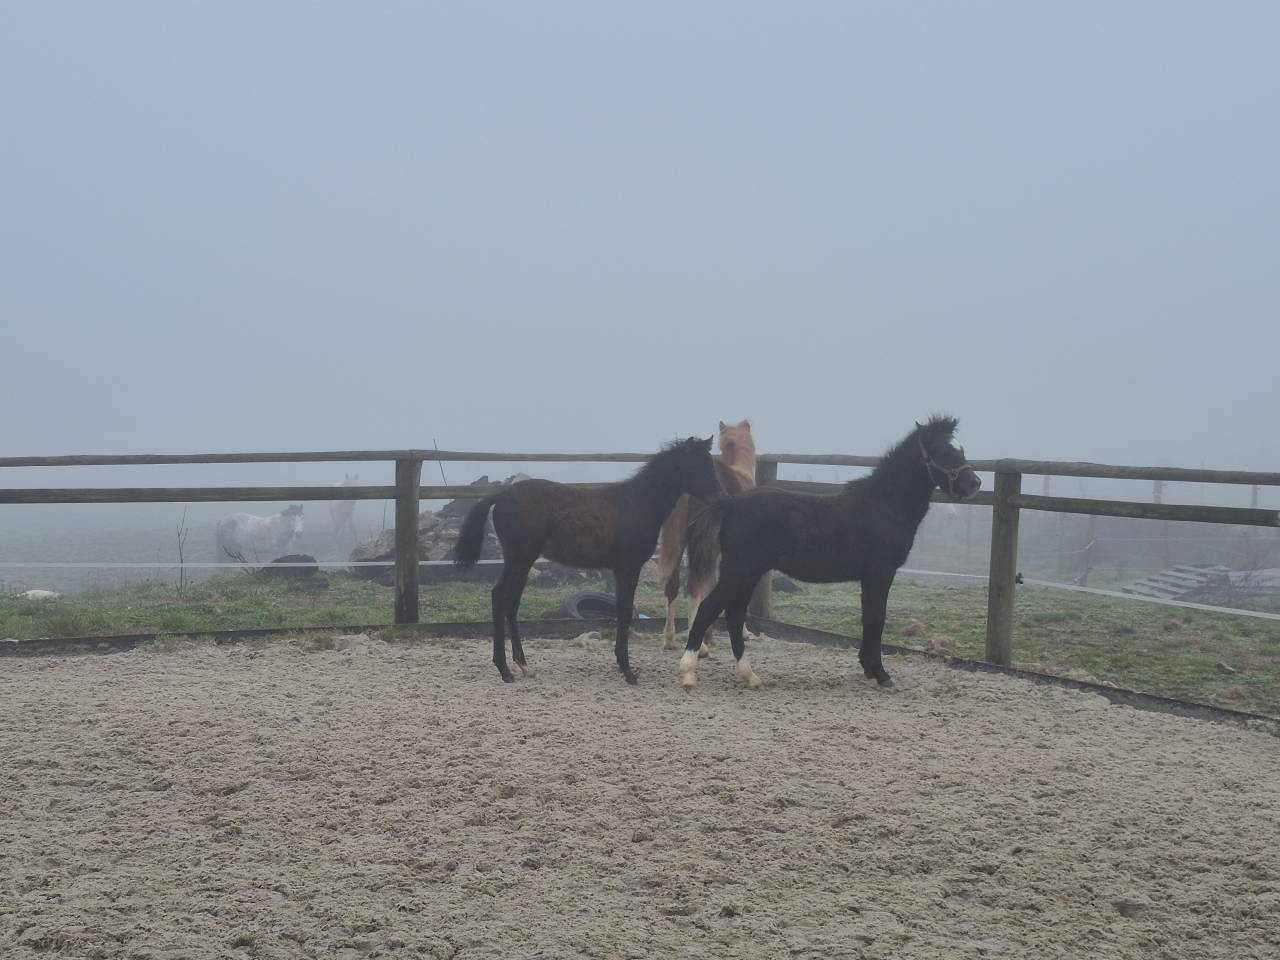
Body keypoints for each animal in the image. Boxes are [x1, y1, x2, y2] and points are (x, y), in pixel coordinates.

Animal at [453, 437, 720, 685]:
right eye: (699, 465)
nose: (719, 498)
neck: (637, 503)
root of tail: (502, 495)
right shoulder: (628, 567)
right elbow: (624, 610)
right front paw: (627, 670)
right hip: (519, 558)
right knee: (500, 597)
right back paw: (504, 669)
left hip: (521, 561)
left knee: (511, 602)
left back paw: (523, 666)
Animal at [679, 415, 981, 691]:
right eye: (943, 451)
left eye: (961, 448)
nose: (973, 484)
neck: (884, 504)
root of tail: (730, 504)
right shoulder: (881, 573)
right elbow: (877, 618)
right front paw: (882, 675)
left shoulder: (869, 577)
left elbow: (869, 618)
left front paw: (869, 669)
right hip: (739, 571)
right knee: (709, 608)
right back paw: (689, 672)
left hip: (748, 574)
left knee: (733, 615)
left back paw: (750, 676)